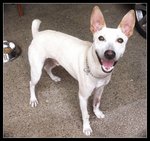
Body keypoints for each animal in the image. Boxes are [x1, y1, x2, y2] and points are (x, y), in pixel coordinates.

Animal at [27, 6, 135, 136]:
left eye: (120, 40)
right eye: (101, 38)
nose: (109, 54)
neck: (97, 71)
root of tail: (37, 34)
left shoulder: (100, 90)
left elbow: (96, 103)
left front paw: (97, 113)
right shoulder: (83, 97)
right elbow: (86, 115)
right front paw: (87, 128)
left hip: (55, 62)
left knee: (47, 67)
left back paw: (54, 78)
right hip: (36, 72)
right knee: (31, 83)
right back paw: (33, 99)